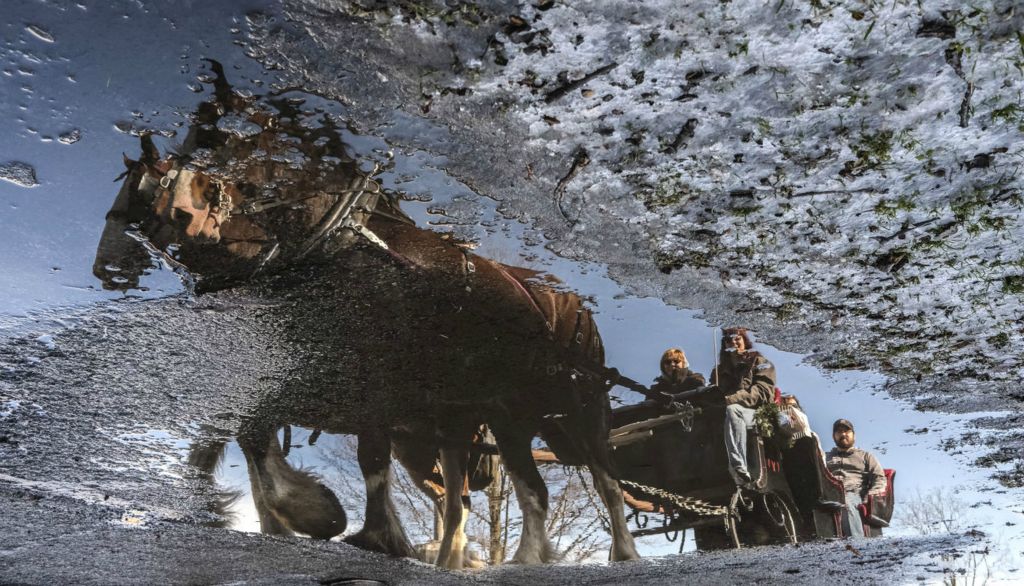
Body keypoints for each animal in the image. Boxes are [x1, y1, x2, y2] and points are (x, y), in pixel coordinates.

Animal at [96, 60, 638, 569]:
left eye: (212, 137)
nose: (107, 266)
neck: (338, 245)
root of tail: (572, 306)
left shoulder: (370, 388)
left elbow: (359, 461)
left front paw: (340, 523)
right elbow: (247, 440)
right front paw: (281, 516)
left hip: (572, 408)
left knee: (600, 482)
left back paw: (609, 555)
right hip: (491, 422)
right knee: (495, 493)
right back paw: (490, 557)